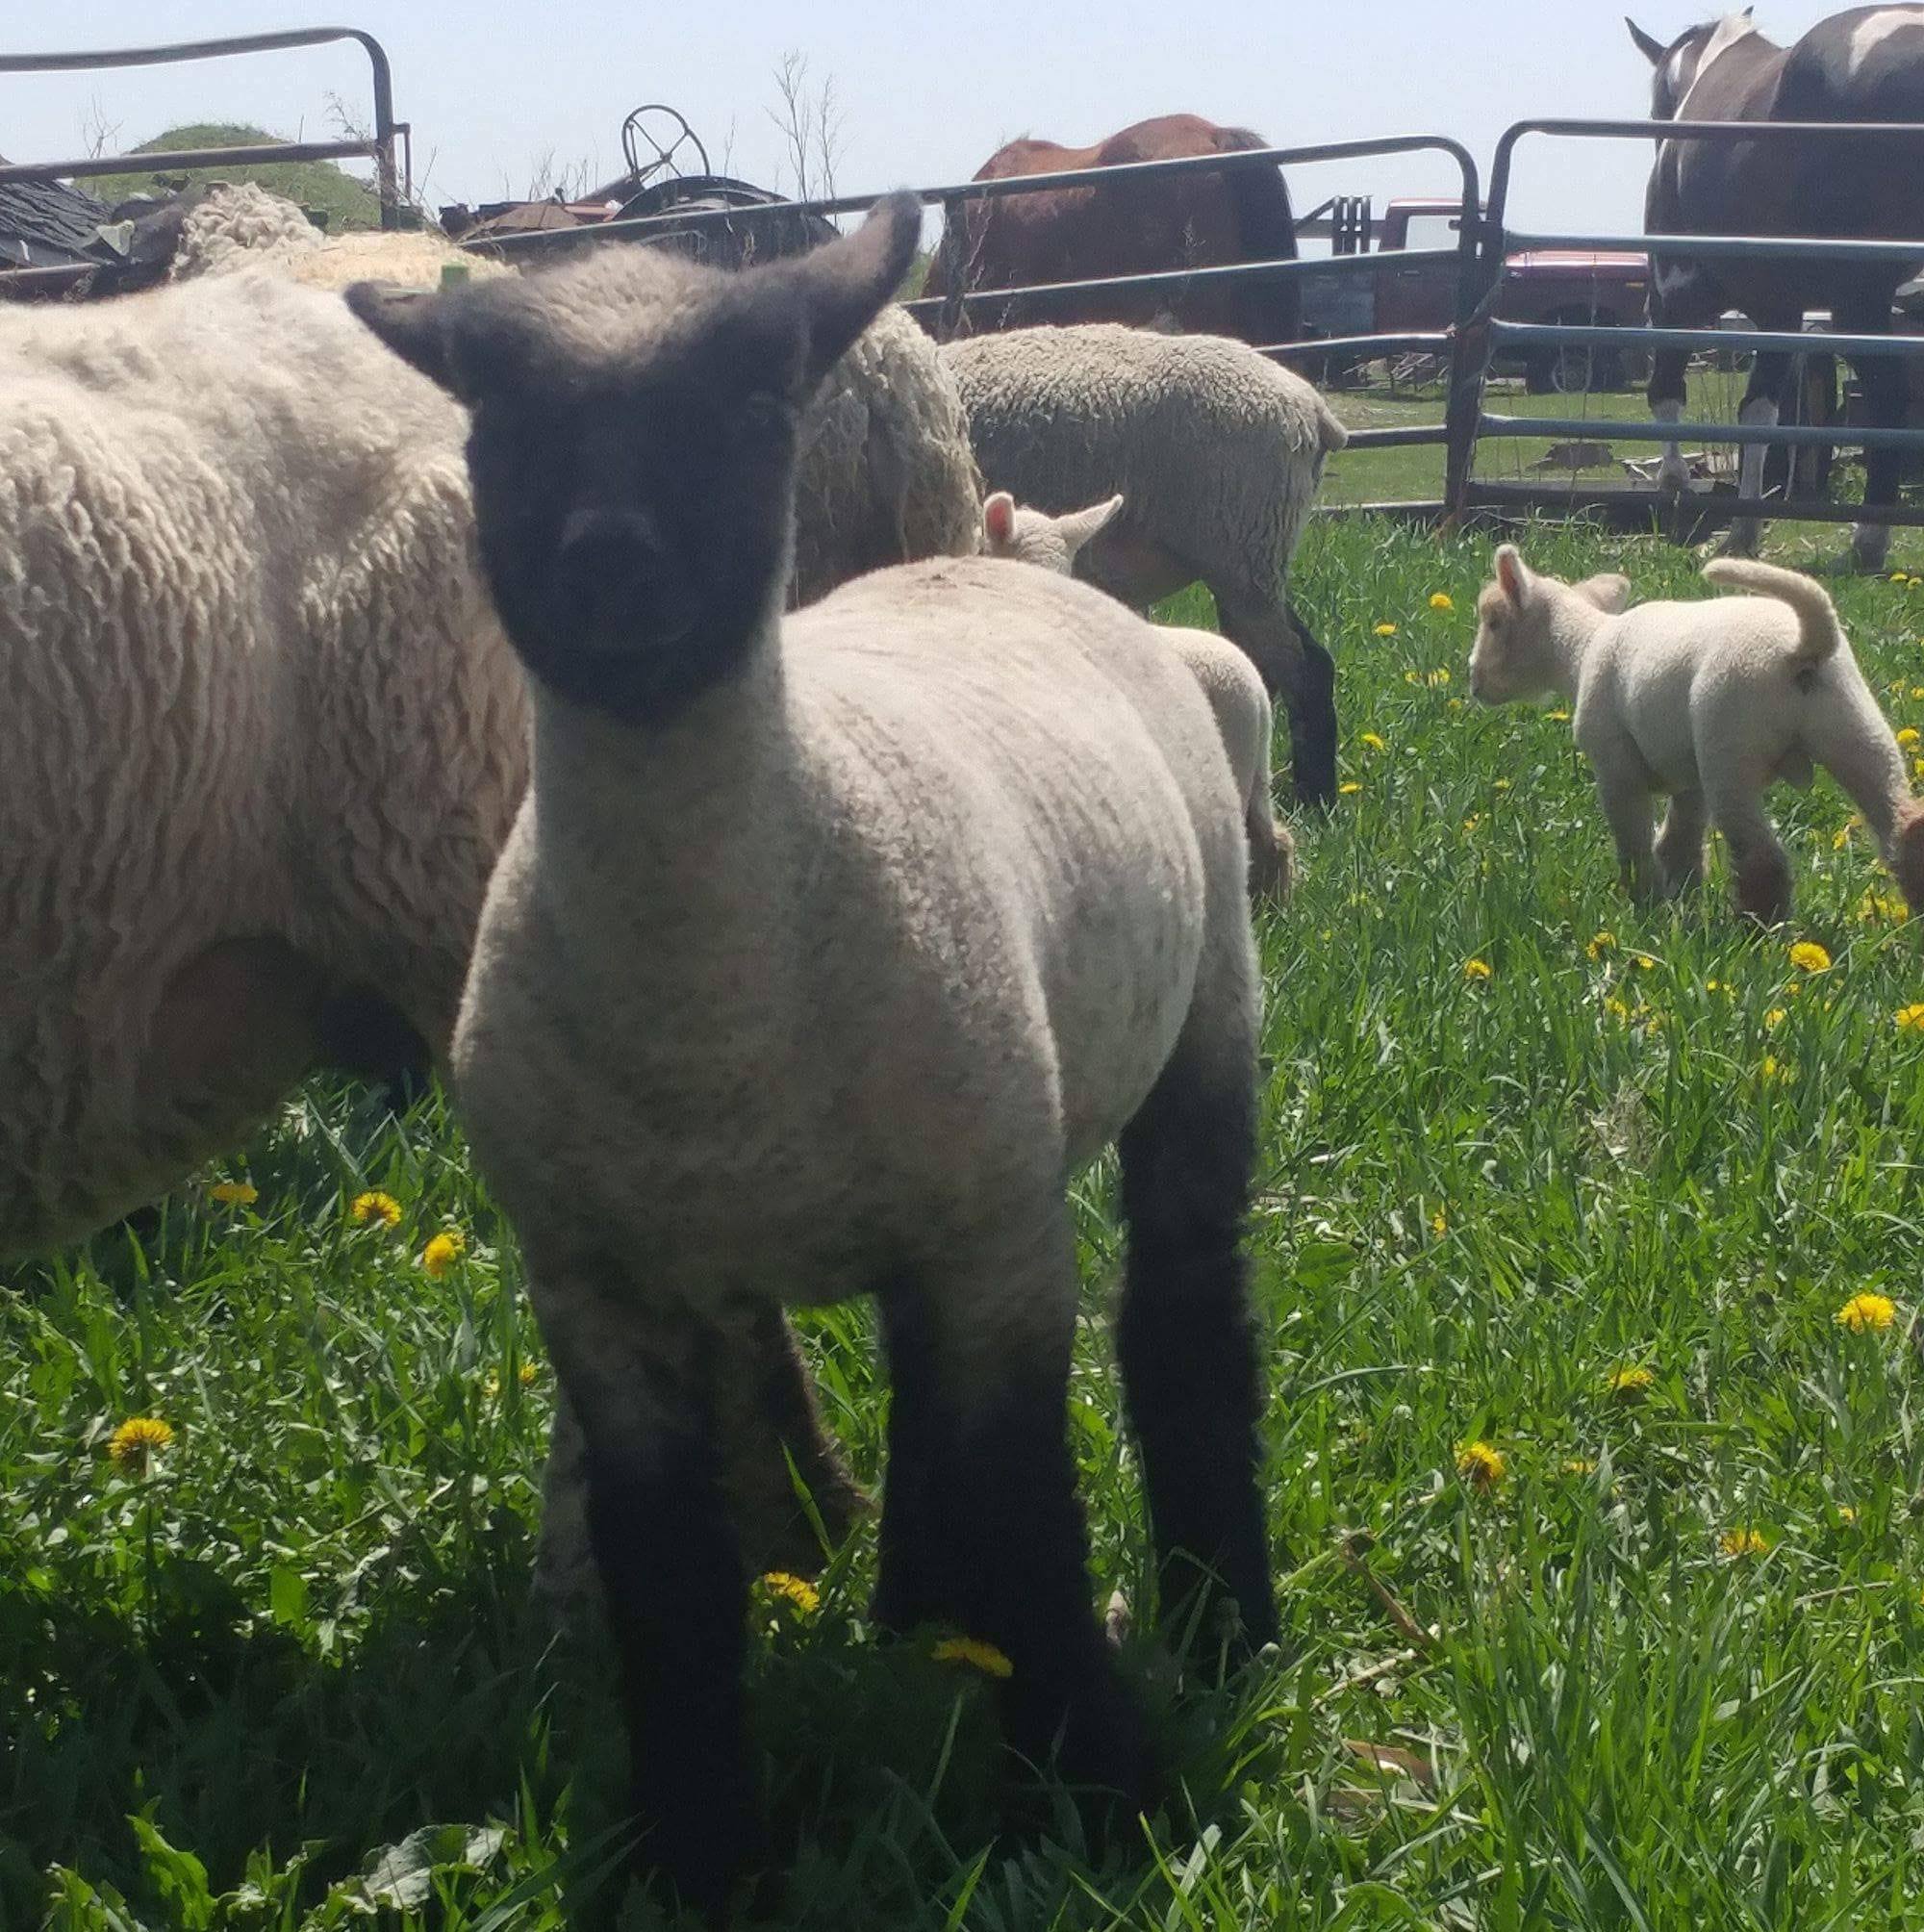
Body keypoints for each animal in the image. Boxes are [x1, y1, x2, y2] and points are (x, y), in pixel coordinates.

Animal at [1468, 545, 1924, 922]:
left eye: (1493, 622)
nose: (1472, 680)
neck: (1582, 648)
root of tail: (1804, 644)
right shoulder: (1689, 778)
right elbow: (1680, 843)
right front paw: (1680, 901)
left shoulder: (1616, 767)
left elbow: (1634, 843)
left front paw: (1644, 904)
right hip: (1855, 726)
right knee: (1903, 824)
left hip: (1730, 747)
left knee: (1761, 859)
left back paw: (1759, 935)